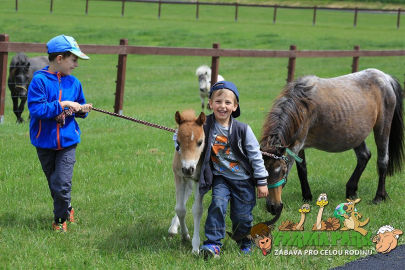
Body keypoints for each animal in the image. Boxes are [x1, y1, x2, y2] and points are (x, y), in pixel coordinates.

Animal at [167, 109, 205, 253]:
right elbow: (180, 209)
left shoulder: (200, 179)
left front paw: (195, 246)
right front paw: (185, 235)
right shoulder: (179, 176)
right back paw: (173, 228)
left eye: (200, 142)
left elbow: (197, 210)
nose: (188, 169)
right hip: (187, 182)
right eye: (178, 143)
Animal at [260, 68, 402, 223]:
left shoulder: (297, 145)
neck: (302, 105)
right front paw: (307, 196)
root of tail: (386, 77)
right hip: (355, 134)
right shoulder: (298, 145)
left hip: (382, 128)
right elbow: (302, 169)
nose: (273, 207)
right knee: (364, 156)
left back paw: (379, 197)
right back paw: (351, 190)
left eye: (281, 172)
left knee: (382, 160)